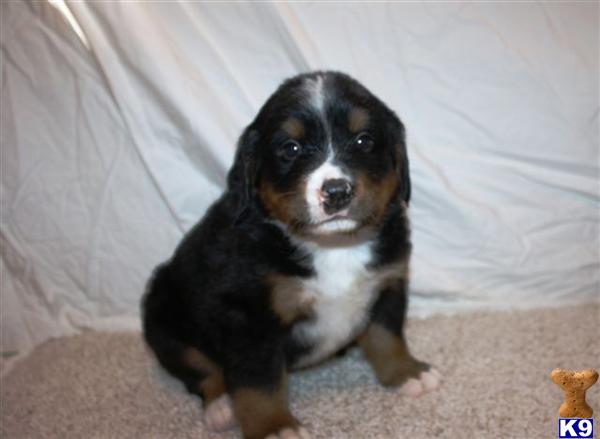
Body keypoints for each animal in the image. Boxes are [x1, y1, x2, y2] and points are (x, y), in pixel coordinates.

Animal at [142, 70, 438, 438]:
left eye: (363, 140)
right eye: (290, 148)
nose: (337, 192)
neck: (333, 247)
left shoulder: (388, 282)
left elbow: (387, 336)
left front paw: (407, 373)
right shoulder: (246, 315)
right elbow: (258, 382)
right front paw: (274, 426)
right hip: (163, 314)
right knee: (199, 368)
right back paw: (220, 407)